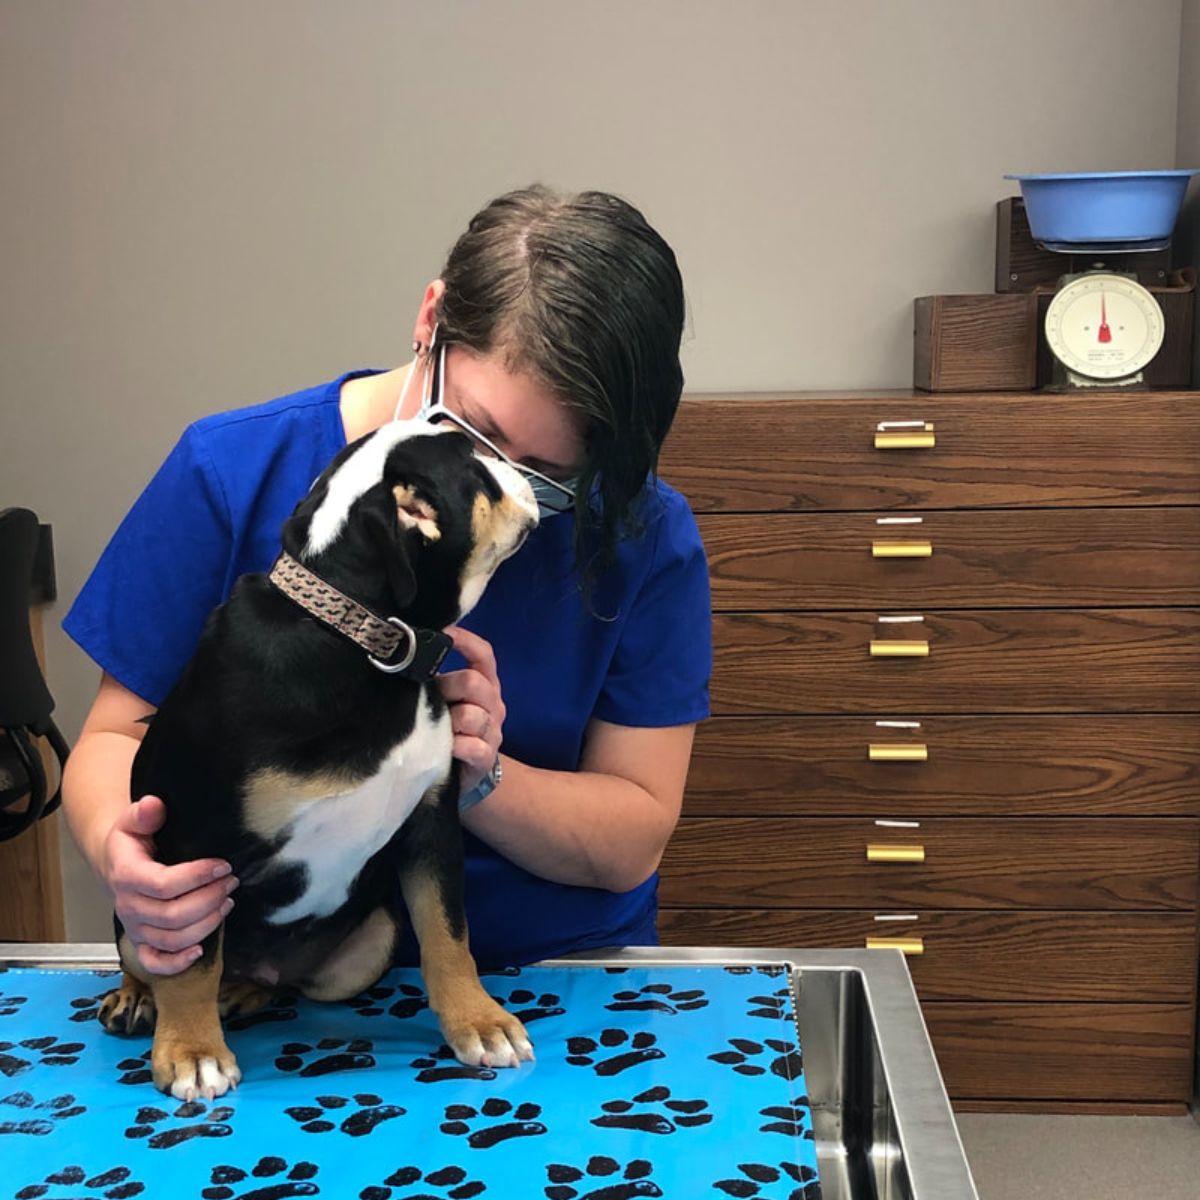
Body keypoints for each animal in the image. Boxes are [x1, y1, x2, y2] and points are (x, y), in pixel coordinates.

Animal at [98, 420, 540, 1099]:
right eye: (478, 465)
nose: (518, 468)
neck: (360, 637)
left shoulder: (432, 823)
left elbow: (448, 933)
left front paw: (479, 1021)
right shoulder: (194, 847)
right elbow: (190, 962)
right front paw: (193, 1051)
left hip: (371, 944)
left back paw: (243, 989)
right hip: (133, 910)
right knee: (152, 957)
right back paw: (137, 998)